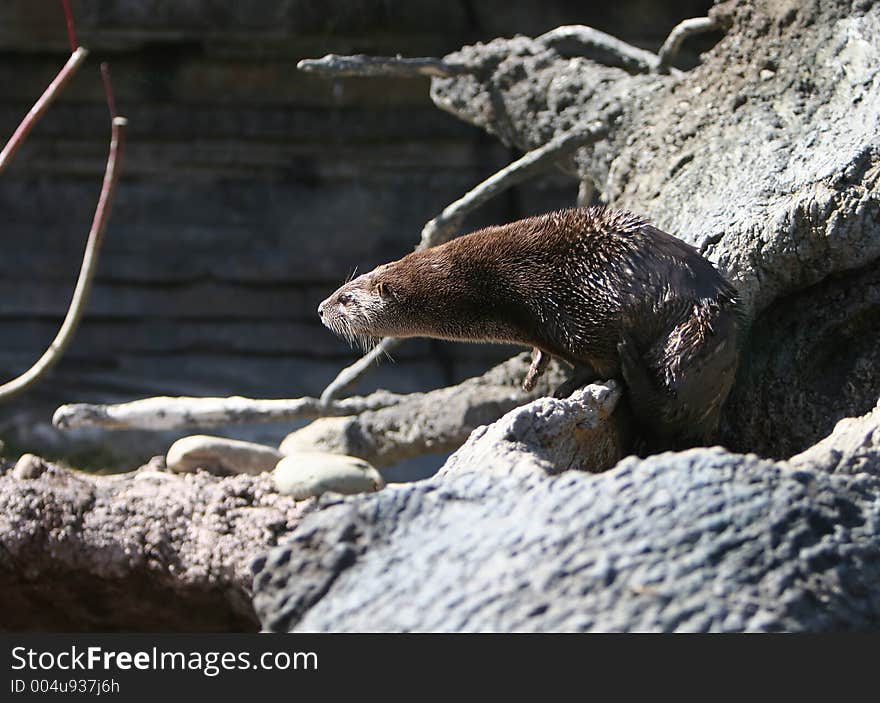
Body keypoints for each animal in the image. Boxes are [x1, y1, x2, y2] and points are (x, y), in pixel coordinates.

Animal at [318, 206, 744, 448]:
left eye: (346, 298)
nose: (321, 308)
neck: (482, 285)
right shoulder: (544, 326)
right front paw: (536, 372)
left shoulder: (570, 304)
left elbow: (599, 359)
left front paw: (563, 388)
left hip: (689, 334)